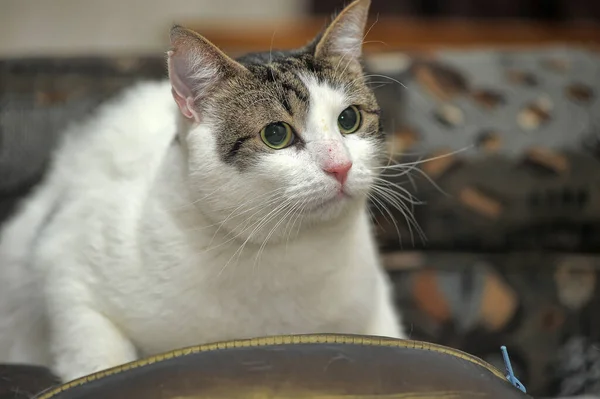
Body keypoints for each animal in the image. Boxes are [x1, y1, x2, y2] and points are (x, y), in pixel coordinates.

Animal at [0, 0, 406, 382]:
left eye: (349, 119)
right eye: (276, 134)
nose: (341, 166)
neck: (288, 250)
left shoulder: (375, 306)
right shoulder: (66, 263)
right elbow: (98, 352)